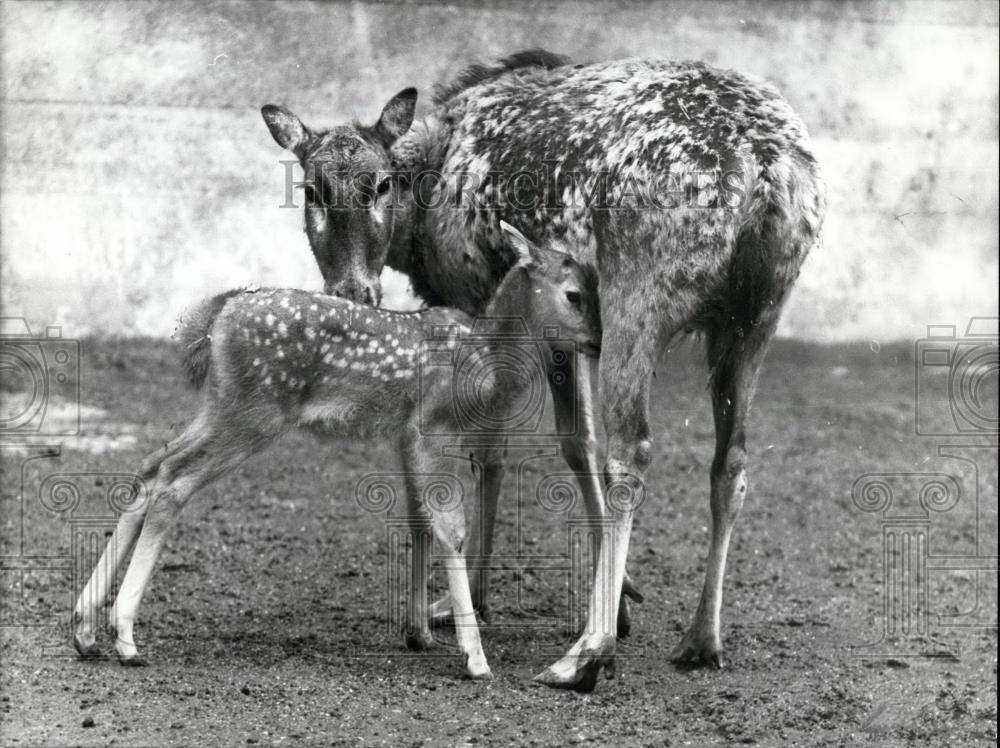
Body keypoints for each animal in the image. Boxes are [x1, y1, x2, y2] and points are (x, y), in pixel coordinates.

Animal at [72, 221, 600, 676]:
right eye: (573, 294)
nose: (597, 343)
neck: (487, 356)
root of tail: (220, 314)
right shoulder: (434, 426)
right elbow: (451, 527)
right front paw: (475, 657)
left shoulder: (404, 436)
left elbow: (418, 521)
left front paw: (420, 634)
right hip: (253, 414)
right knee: (173, 483)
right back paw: (124, 637)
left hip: (222, 406)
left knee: (152, 465)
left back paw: (85, 628)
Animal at [262, 49, 824, 692]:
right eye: (311, 188)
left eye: (380, 184)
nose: (353, 291)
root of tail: (766, 172)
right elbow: (567, 444)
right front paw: (621, 594)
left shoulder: (500, 304)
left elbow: (516, 450)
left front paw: (479, 601)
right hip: (757, 317)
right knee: (730, 461)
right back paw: (701, 637)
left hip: (640, 294)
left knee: (632, 452)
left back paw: (587, 652)